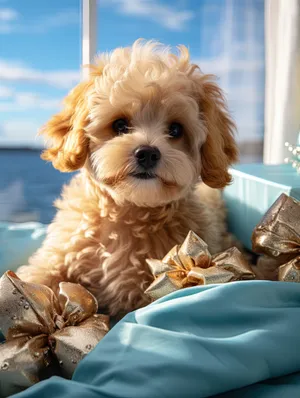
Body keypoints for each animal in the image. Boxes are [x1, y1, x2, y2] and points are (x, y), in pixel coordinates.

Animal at [17, 39, 238, 314]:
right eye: (120, 125)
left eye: (176, 130)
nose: (147, 153)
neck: (127, 211)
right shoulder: (58, 253)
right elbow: (35, 277)